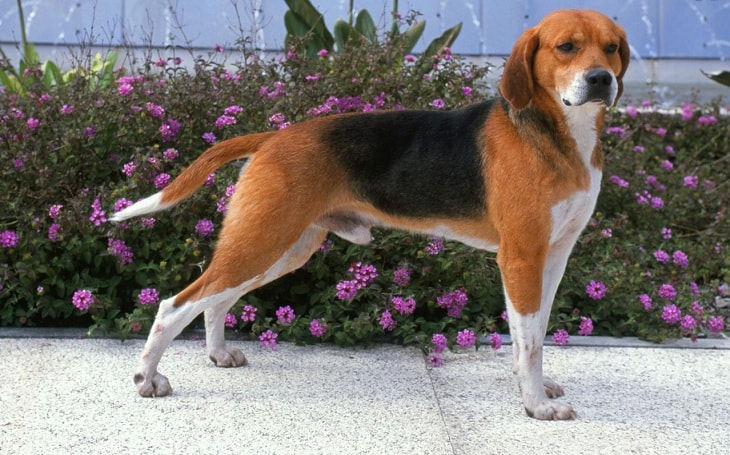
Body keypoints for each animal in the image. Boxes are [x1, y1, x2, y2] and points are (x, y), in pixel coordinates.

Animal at [112, 8, 624, 420]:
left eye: (613, 47)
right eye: (566, 47)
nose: (601, 79)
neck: (558, 135)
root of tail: (273, 137)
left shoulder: (553, 258)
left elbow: (533, 334)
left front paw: (536, 388)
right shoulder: (520, 258)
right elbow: (529, 341)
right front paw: (535, 405)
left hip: (282, 249)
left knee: (216, 301)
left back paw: (218, 354)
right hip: (262, 242)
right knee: (175, 304)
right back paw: (147, 379)